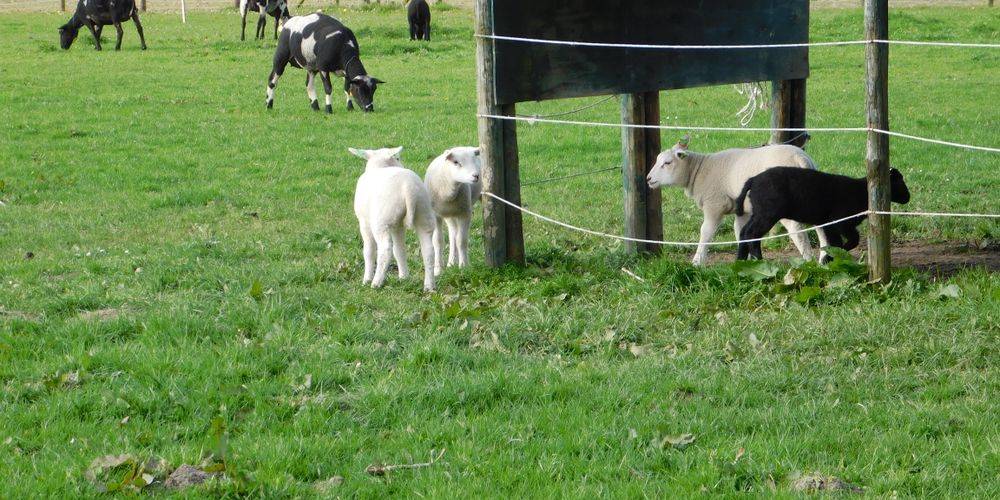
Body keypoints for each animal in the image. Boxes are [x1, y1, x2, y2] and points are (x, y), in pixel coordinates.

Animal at [350, 147, 437, 291]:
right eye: (398, 158)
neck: (378, 166)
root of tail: (408, 187)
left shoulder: (364, 222)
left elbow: (368, 251)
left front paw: (366, 279)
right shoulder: (398, 226)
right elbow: (399, 249)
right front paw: (404, 277)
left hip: (381, 221)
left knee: (385, 250)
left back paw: (376, 282)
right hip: (423, 213)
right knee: (428, 250)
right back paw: (429, 286)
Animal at [646, 136, 831, 266]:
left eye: (667, 162)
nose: (648, 179)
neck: (698, 171)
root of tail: (799, 157)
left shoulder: (714, 204)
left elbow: (706, 232)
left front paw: (697, 262)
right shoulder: (741, 209)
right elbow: (739, 231)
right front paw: (747, 261)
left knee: (797, 231)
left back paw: (807, 261)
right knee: (820, 226)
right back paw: (823, 258)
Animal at [734, 167, 911, 261]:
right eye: (900, 181)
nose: (908, 197)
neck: (862, 191)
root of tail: (753, 180)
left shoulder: (832, 224)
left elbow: (838, 242)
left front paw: (829, 258)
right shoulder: (838, 221)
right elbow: (849, 241)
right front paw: (831, 257)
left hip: (759, 212)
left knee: (744, 232)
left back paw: (741, 260)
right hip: (768, 213)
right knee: (752, 234)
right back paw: (757, 258)